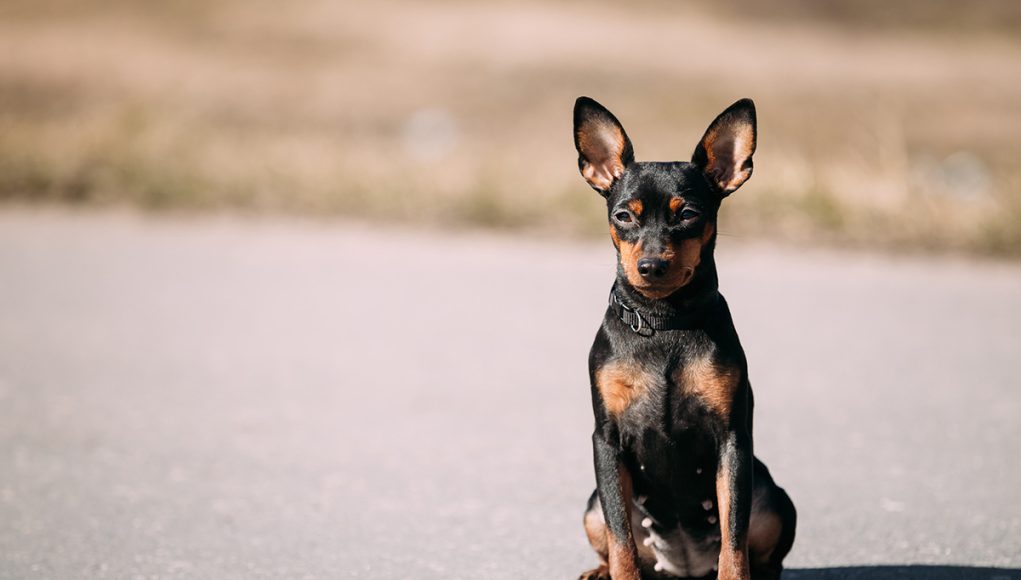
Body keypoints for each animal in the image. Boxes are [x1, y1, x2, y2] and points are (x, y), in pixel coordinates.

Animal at [575, 97, 796, 575]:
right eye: (623, 216)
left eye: (689, 215)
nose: (651, 266)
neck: (664, 321)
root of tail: (685, 566)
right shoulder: (607, 441)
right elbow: (621, 539)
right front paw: (618, 572)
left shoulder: (732, 442)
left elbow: (734, 538)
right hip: (591, 504)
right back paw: (599, 571)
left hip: (774, 497)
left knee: (764, 555)